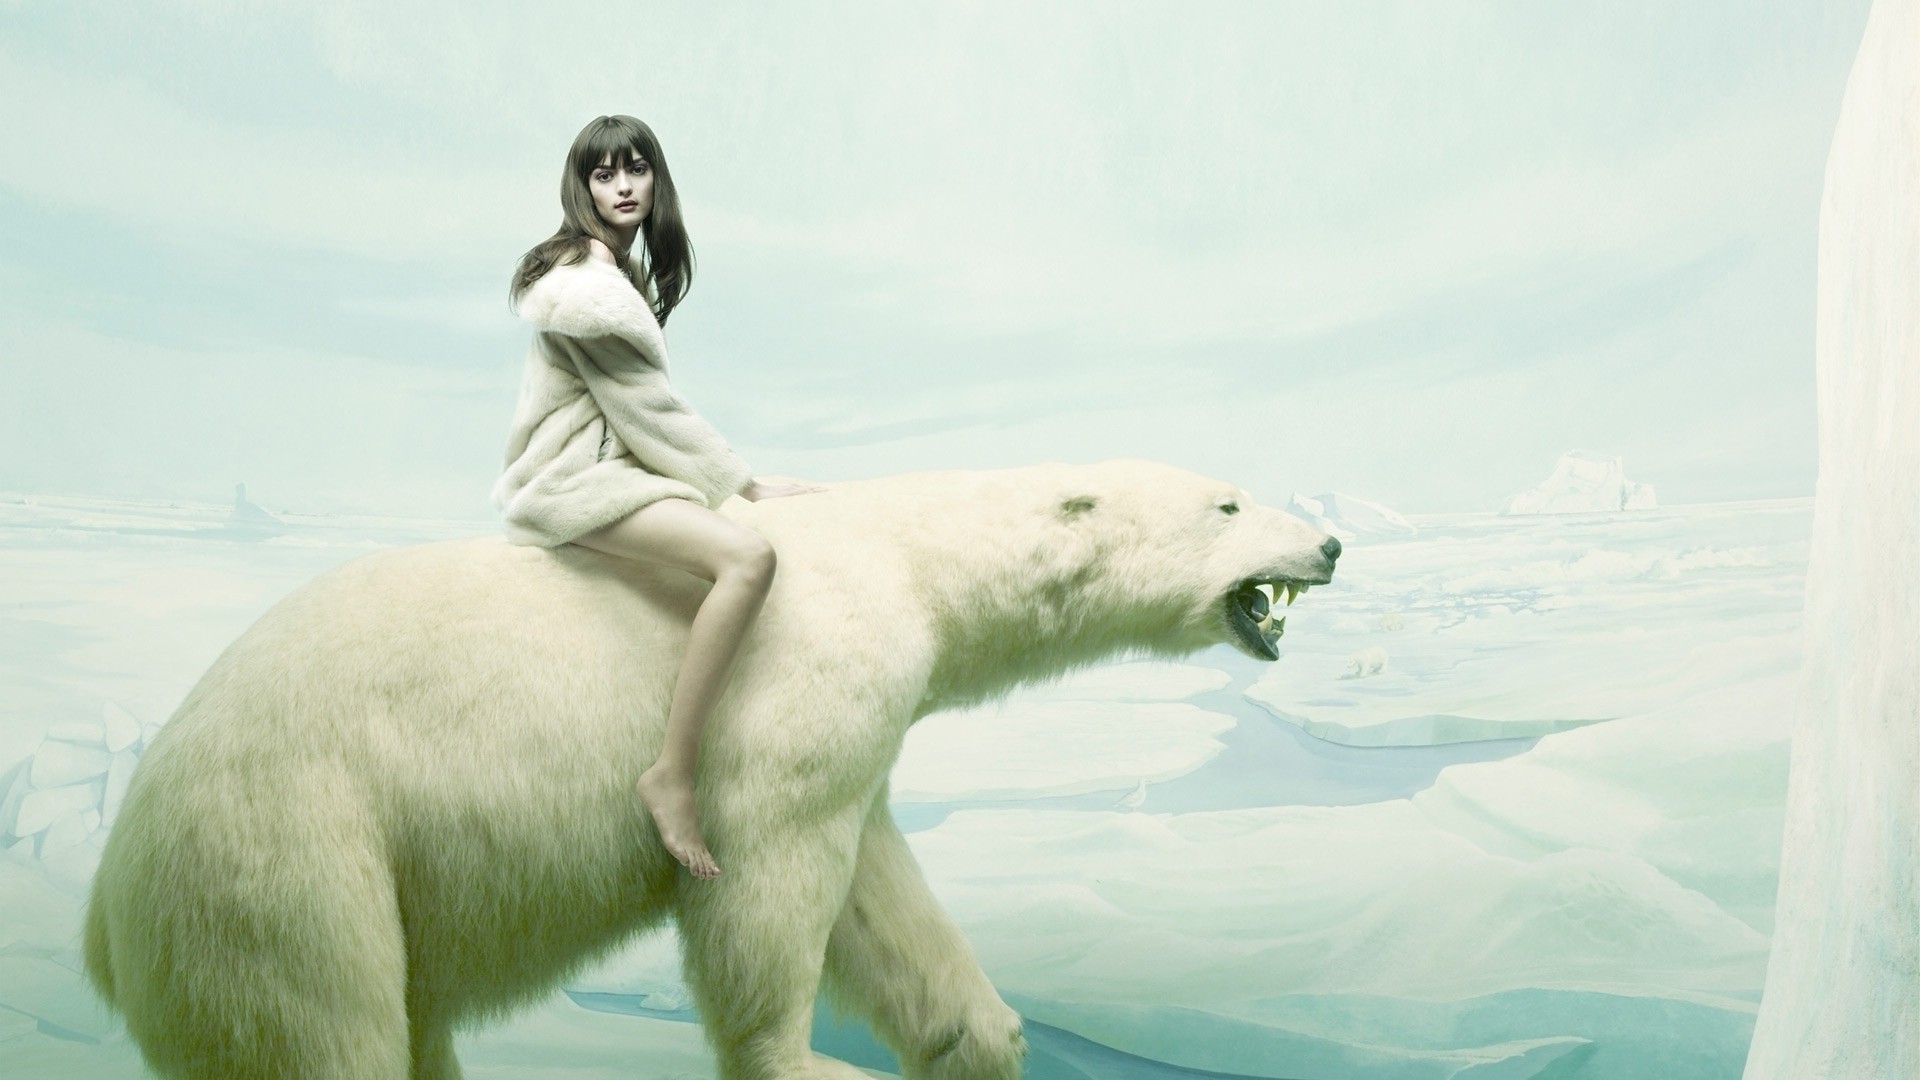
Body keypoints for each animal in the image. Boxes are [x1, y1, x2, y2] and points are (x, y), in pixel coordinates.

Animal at [82, 455, 1344, 1076]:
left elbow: (877, 894)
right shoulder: (797, 673)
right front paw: (803, 1062)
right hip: (284, 851)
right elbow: (765, 871)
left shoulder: (863, 724)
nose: (1330, 542)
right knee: (317, 1030)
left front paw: (980, 1037)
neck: (906, 562)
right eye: (1229, 501)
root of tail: (101, 904)